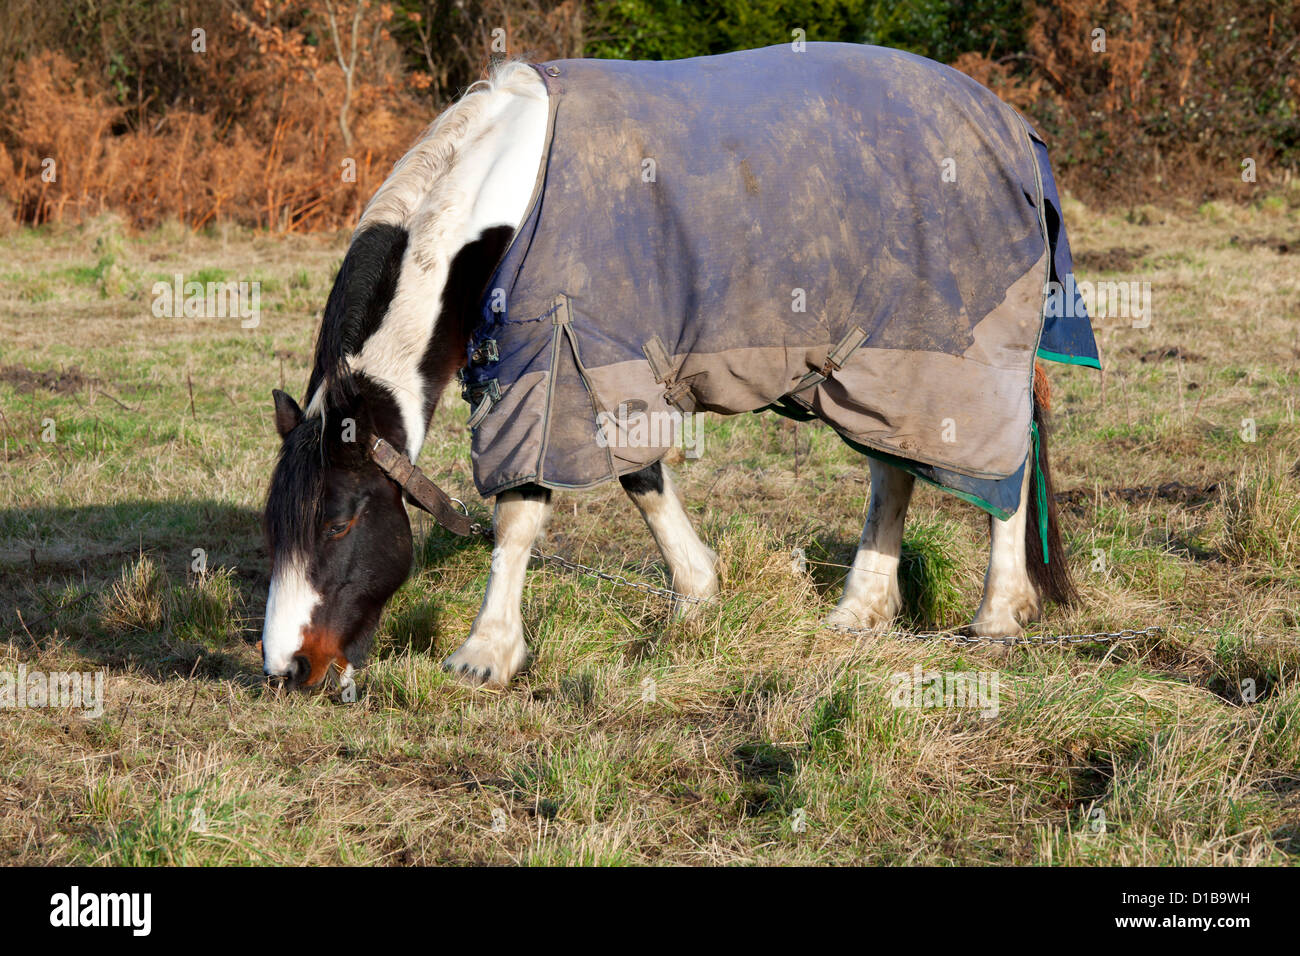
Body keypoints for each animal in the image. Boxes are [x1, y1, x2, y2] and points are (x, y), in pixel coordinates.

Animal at [261, 42, 1097, 686]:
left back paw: (997, 612)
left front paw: (485, 652)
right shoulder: (597, 368)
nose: (286, 671)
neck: (507, 201)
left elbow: (523, 513)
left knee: (1003, 462)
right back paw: (859, 608)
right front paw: (698, 592)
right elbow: (643, 480)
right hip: (884, 364)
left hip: (963, 358)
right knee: (894, 467)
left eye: (339, 521)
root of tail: (1013, 125)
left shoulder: (556, 366)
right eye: (273, 528)